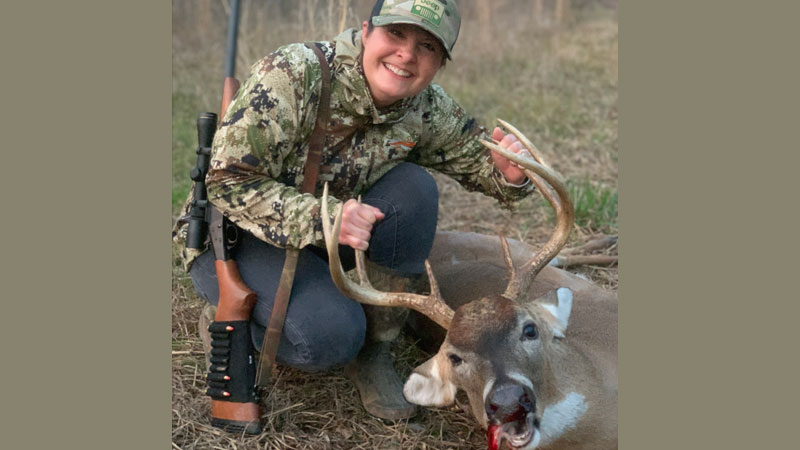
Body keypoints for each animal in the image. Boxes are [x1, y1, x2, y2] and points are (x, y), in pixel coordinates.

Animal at [321, 120, 617, 450]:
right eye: (454, 358)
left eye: (529, 329)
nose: (508, 401)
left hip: (505, 243)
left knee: (567, 254)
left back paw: (610, 241)